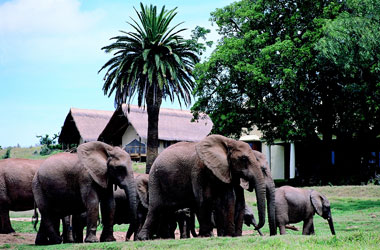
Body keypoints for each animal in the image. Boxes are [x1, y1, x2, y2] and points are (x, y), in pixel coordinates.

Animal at [137, 134, 276, 239]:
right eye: (243, 159)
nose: (257, 227)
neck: (228, 142)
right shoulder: (199, 169)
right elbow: (204, 199)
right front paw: (208, 235)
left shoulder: (224, 171)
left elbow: (229, 199)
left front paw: (228, 235)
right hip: (155, 179)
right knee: (155, 208)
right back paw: (144, 238)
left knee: (165, 210)